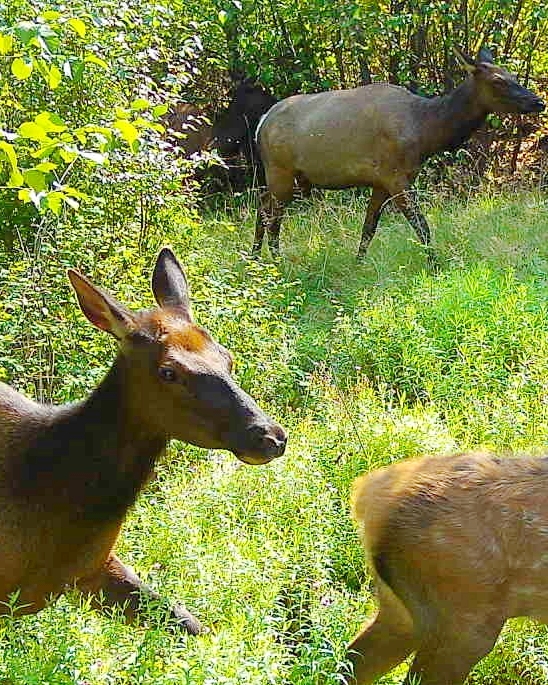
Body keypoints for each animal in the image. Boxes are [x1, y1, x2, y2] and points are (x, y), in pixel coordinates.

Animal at [254, 48, 544, 264]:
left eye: (512, 74)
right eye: (498, 81)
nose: (538, 101)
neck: (426, 133)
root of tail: (261, 122)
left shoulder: (381, 181)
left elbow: (368, 228)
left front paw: (358, 264)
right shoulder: (394, 176)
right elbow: (422, 226)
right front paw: (435, 265)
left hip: (293, 178)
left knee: (263, 205)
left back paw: (256, 257)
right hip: (280, 171)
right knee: (273, 217)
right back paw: (276, 261)